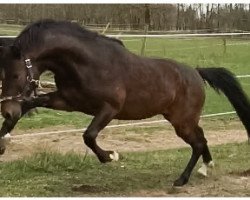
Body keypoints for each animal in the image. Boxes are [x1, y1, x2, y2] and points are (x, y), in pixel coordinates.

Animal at [0, 19, 250, 187]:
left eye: (15, 75)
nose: (6, 111)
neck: (87, 63)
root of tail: (197, 73)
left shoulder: (109, 108)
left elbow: (89, 135)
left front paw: (110, 156)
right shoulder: (68, 101)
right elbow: (29, 105)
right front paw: (4, 139)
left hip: (182, 122)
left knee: (197, 143)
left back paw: (181, 180)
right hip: (183, 119)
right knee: (202, 137)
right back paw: (206, 169)